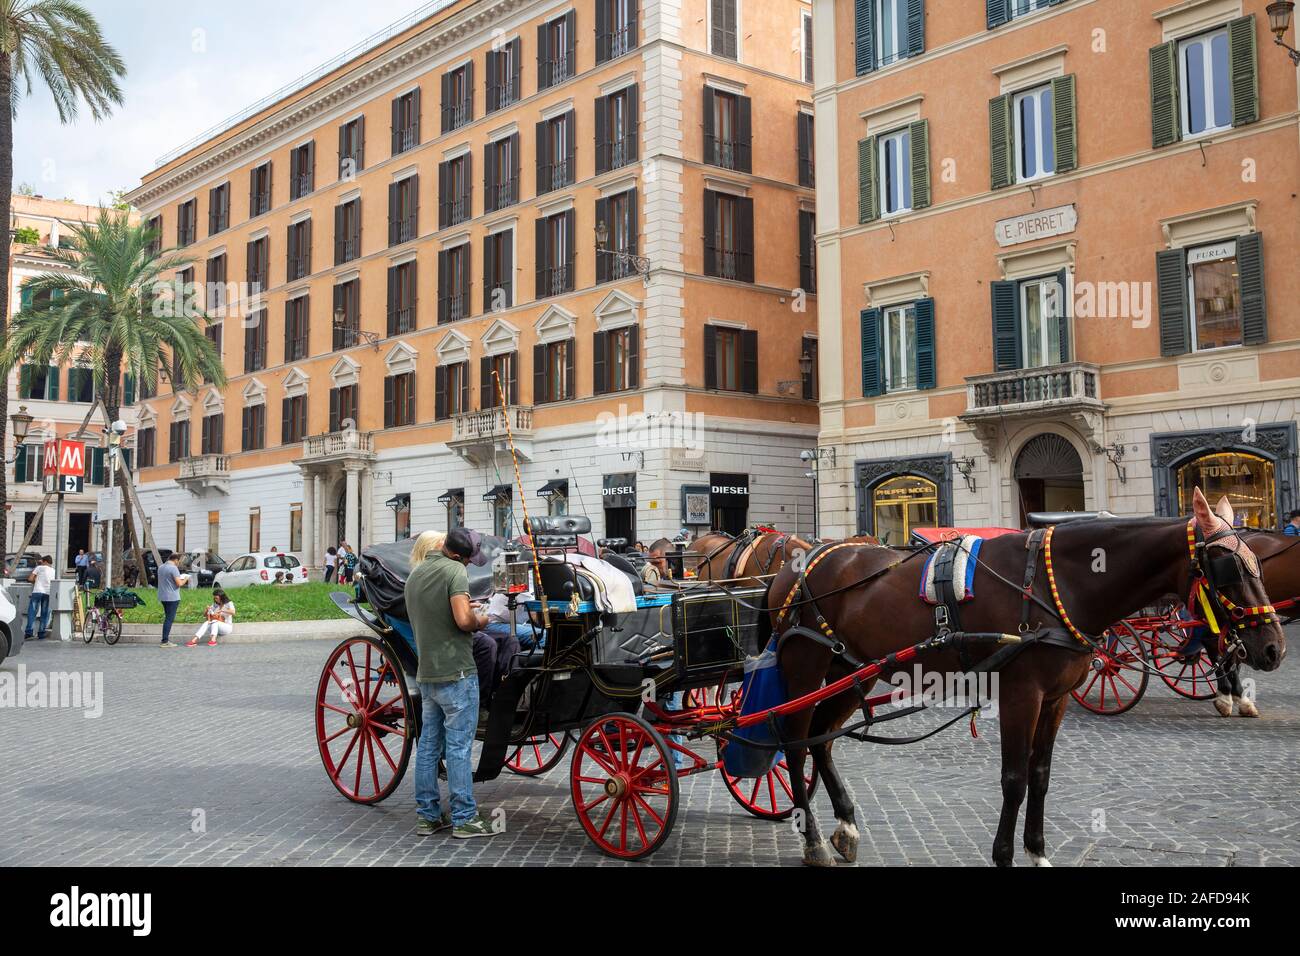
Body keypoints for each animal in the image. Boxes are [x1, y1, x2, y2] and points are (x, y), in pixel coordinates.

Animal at [764, 489, 1284, 868]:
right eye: (1230, 568)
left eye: (1258, 563)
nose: (1274, 647)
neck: (1061, 584)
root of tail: (800, 558)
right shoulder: (1021, 694)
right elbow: (1013, 778)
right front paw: (1004, 855)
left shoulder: (1055, 699)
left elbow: (1041, 774)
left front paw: (1036, 850)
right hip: (806, 667)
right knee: (793, 742)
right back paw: (811, 839)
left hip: (852, 672)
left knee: (821, 741)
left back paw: (845, 826)